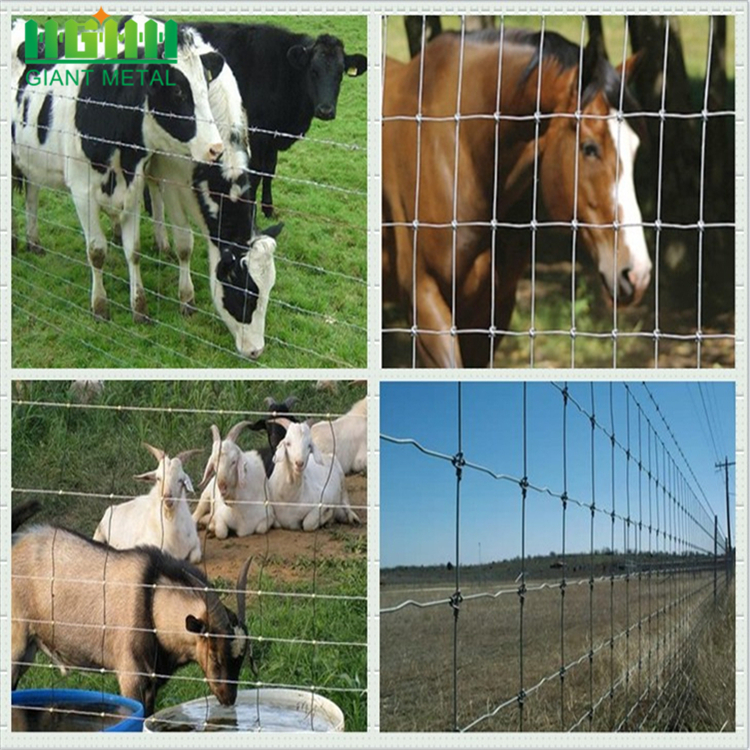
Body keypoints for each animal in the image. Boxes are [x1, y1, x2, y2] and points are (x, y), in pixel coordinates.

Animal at [9, 19, 226, 322]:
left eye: (205, 86)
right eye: (178, 91)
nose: (216, 148)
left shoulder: (133, 186)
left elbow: (133, 251)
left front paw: (139, 306)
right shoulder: (81, 192)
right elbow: (96, 251)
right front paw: (100, 306)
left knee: (31, 192)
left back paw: (33, 241)